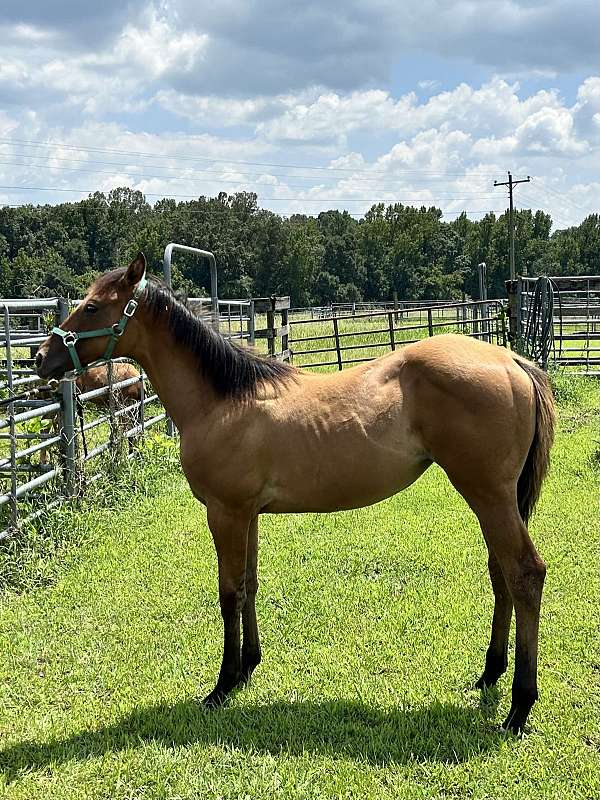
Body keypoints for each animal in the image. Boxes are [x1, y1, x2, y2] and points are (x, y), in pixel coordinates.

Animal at [35, 253, 555, 734]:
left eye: (92, 307)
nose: (41, 359)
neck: (223, 400)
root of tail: (511, 361)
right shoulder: (248, 514)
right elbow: (249, 585)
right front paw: (248, 666)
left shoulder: (225, 513)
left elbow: (229, 592)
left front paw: (222, 684)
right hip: (495, 500)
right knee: (501, 573)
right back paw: (490, 675)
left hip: (487, 494)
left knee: (524, 573)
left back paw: (519, 707)